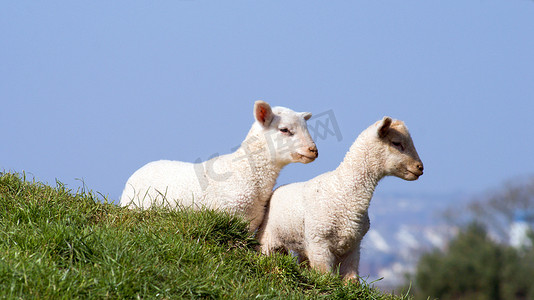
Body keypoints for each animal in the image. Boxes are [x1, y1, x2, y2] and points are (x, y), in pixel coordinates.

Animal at [258, 116, 426, 278]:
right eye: (396, 143)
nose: (420, 168)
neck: (342, 190)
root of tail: (277, 189)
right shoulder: (319, 243)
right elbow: (324, 276)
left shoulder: (353, 246)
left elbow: (351, 281)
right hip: (268, 237)